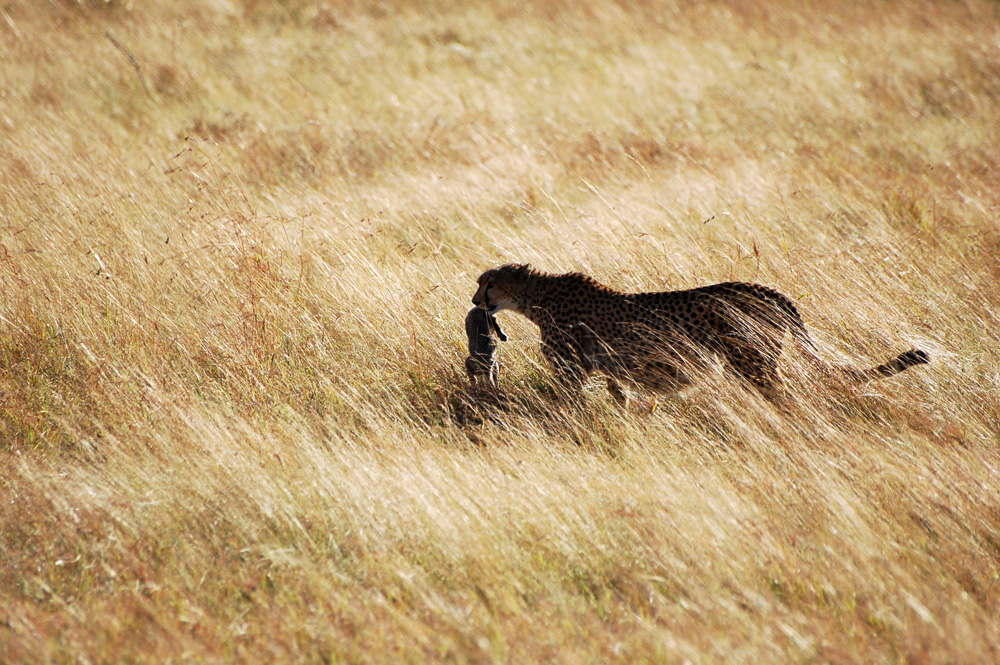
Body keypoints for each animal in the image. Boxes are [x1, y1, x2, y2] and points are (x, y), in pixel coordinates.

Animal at [470, 264, 928, 400]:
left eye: (487, 283)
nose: (475, 301)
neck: (535, 295)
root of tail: (767, 289)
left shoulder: (574, 369)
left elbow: (569, 404)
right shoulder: (612, 368)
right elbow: (620, 398)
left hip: (750, 361)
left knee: (787, 398)